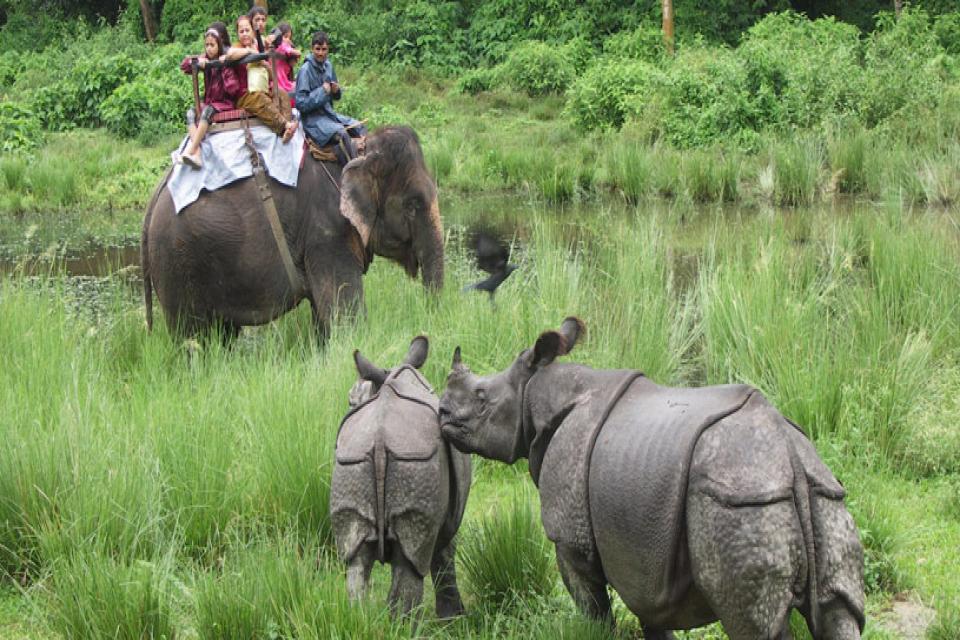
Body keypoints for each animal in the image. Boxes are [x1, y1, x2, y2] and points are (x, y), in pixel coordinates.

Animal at [141, 124, 444, 340]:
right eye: (412, 205)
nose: (427, 324)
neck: (357, 150)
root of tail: (153, 200)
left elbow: (324, 313)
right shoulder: (326, 232)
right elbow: (344, 312)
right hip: (177, 264)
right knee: (193, 339)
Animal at [330, 338, 472, 616]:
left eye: (352, 399)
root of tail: (380, 437)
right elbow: (444, 556)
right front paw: (453, 618)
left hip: (352, 464)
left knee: (355, 565)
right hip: (415, 463)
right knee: (409, 567)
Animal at [438, 318, 868, 636]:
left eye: (481, 399)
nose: (441, 413)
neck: (535, 394)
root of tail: (788, 458)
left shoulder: (571, 538)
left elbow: (594, 612)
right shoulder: (643, 555)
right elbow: (651, 616)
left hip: (738, 502)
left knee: (752, 624)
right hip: (821, 494)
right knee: (839, 609)